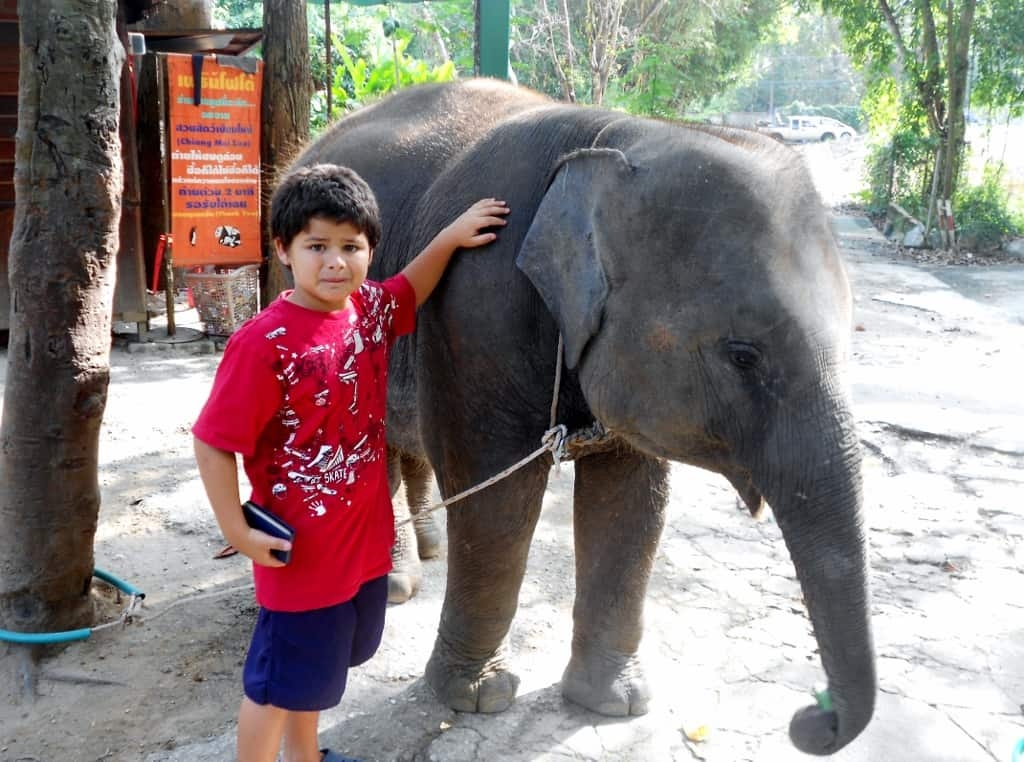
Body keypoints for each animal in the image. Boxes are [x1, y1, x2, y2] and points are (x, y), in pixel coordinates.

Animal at [292, 78, 876, 757]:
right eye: (743, 355)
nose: (809, 718)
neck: (619, 136)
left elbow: (630, 502)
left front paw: (615, 703)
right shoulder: (472, 309)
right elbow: (495, 499)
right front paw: (475, 698)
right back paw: (386, 589)